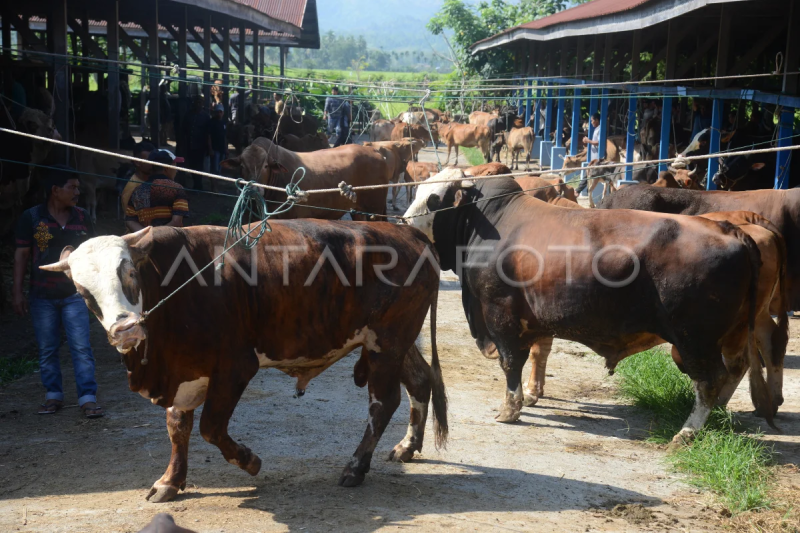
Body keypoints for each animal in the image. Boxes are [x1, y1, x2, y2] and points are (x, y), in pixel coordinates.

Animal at [42, 222, 444, 500]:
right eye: (82, 291)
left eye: (128, 273)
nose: (125, 330)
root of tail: (407, 232)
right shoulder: (186, 373)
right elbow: (178, 426)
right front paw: (170, 481)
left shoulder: (234, 367)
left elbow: (210, 427)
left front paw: (249, 461)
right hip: (396, 342)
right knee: (420, 381)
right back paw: (407, 446)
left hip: (386, 344)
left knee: (383, 403)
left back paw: (356, 467)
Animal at [406, 170, 776, 448]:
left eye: (434, 199)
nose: (406, 221)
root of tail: (731, 229)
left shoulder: (501, 314)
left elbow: (511, 363)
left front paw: (510, 410)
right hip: (731, 334)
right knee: (734, 369)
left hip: (695, 340)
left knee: (710, 381)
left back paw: (686, 433)